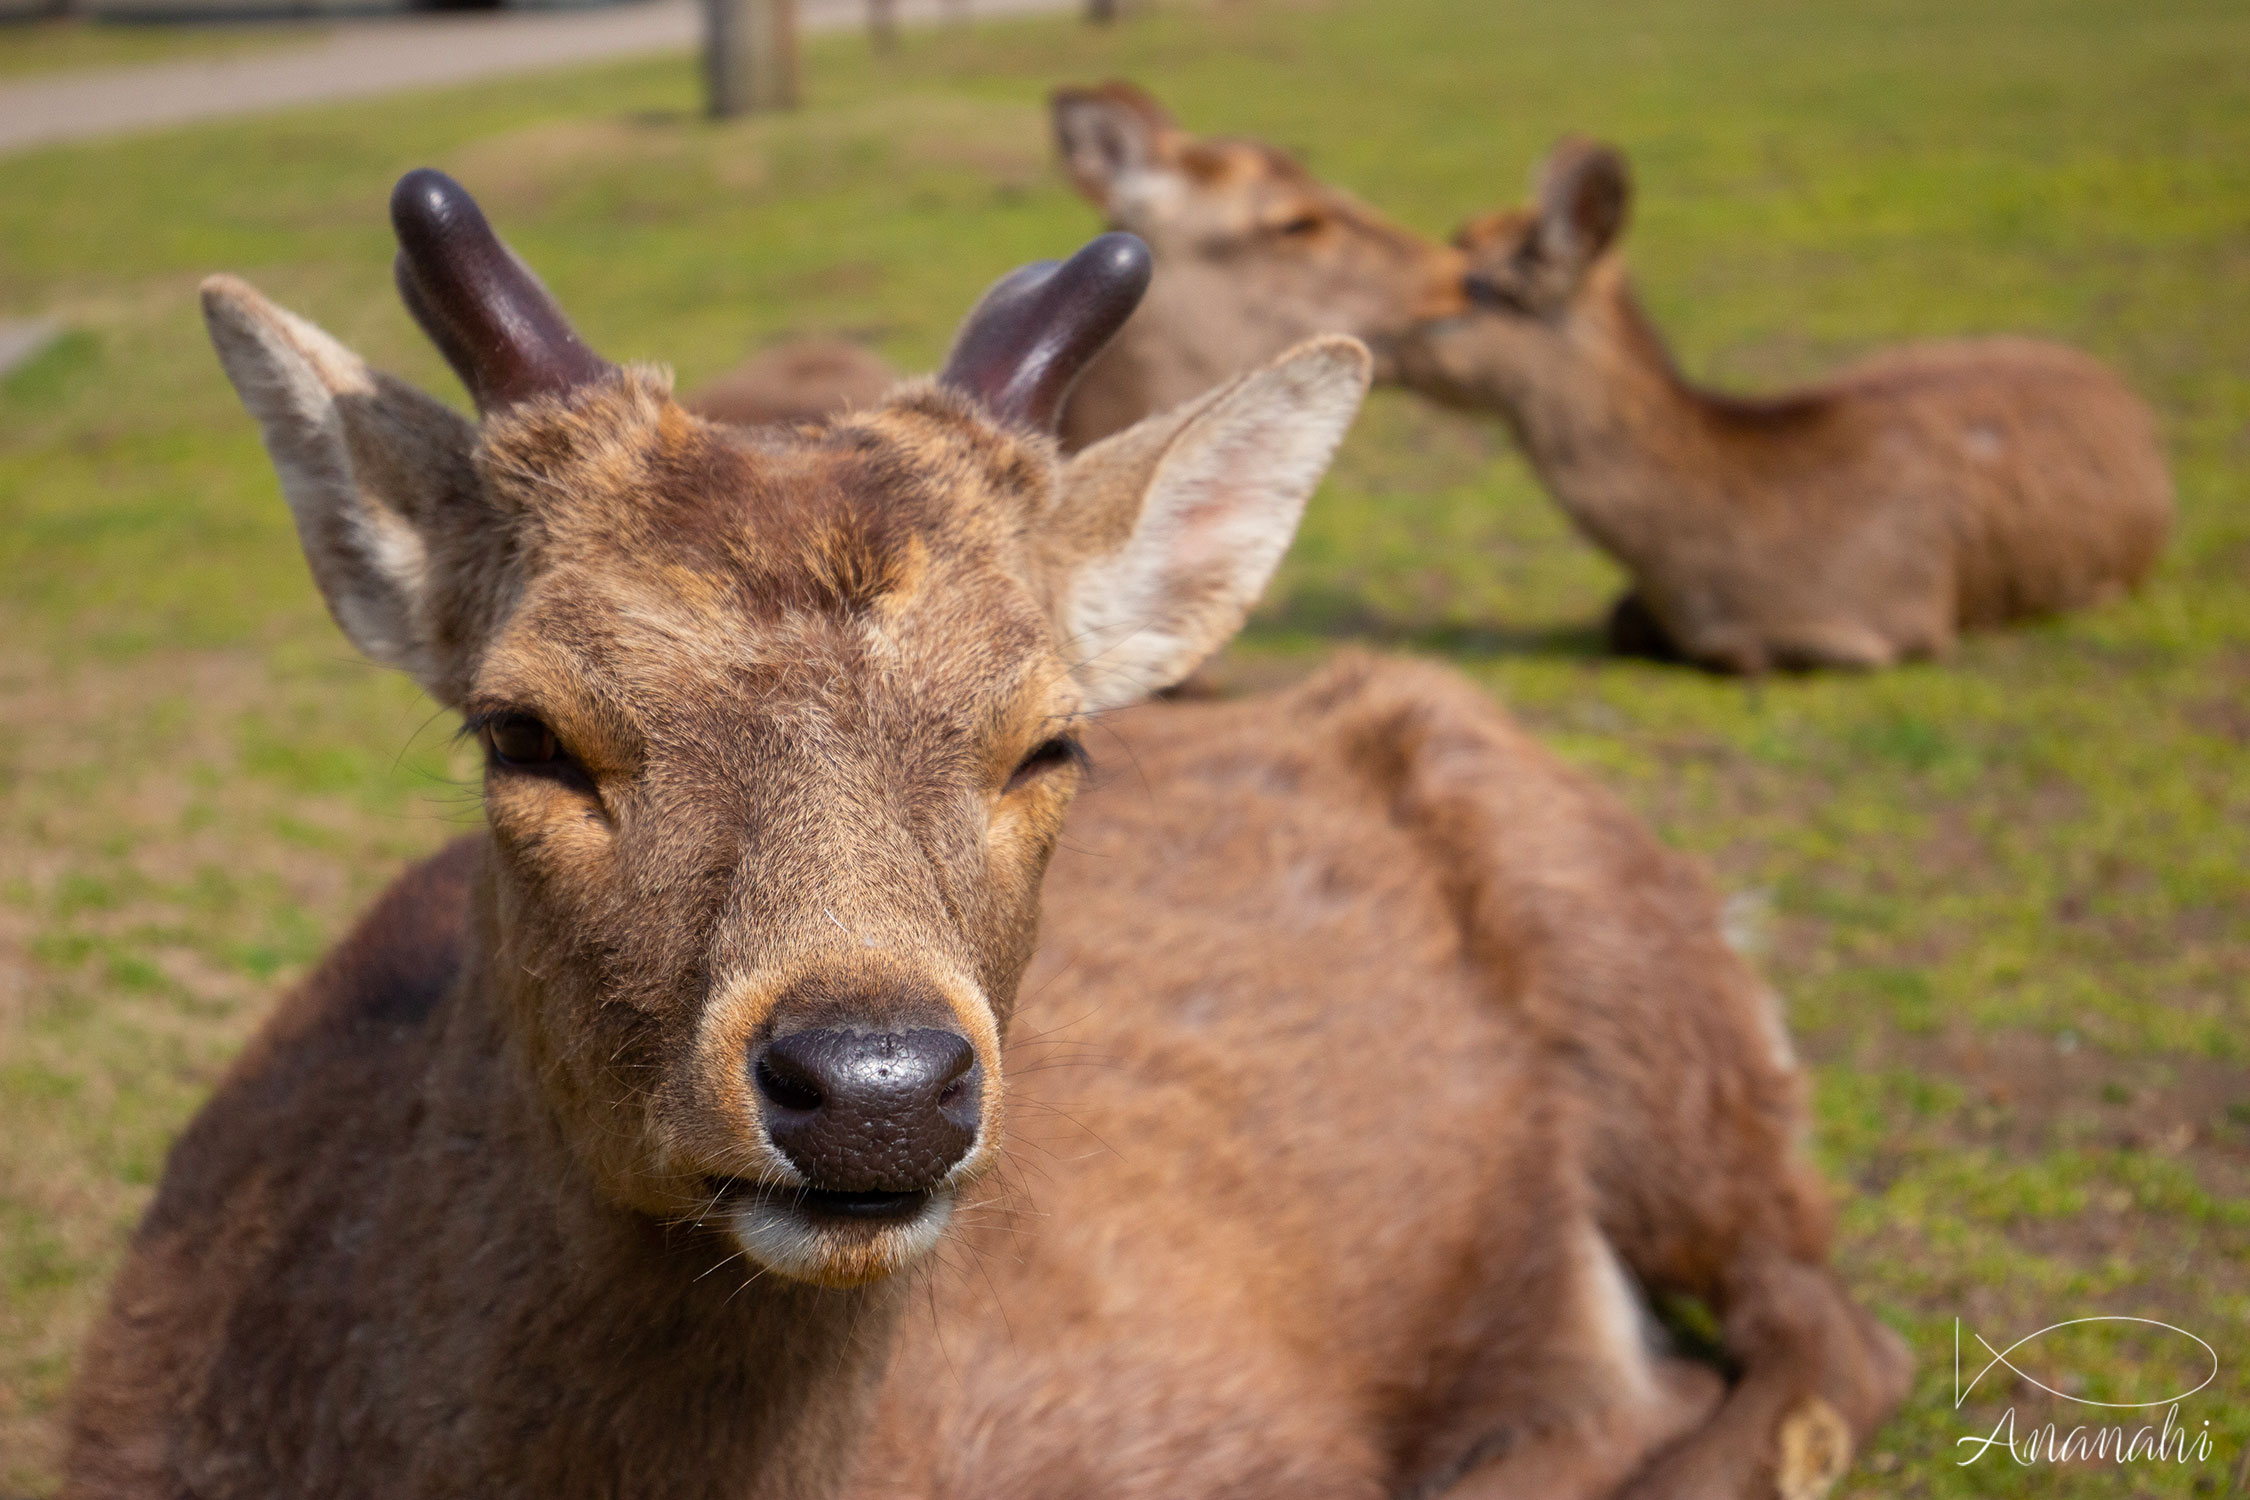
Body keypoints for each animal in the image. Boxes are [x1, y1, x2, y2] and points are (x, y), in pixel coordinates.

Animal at [1395, 136, 2169, 674]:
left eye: (1474, 286)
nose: (1383, 343)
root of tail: (2133, 400)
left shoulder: (1901, 618)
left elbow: (1743, 652)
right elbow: (1624, 620)